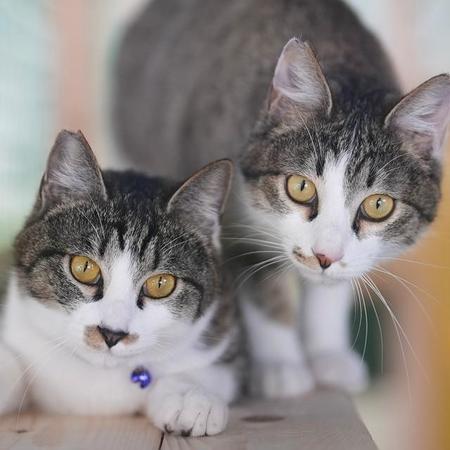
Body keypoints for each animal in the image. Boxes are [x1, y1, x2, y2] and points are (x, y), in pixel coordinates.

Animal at [115, 0, 450, 398]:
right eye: (300, 187)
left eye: (378, 205)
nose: (324, 256)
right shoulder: (230, 216)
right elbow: (262, 283)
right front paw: (281, 366)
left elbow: (335, 285)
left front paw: (327, 353)